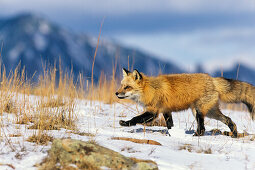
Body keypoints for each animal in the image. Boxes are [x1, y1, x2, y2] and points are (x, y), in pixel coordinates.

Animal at [116, 68, 255, 137]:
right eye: (121, 85)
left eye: (127, 87)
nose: (116, 93)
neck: (150, 89)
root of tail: (212, 79)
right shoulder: (166, 111)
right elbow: (170, 125)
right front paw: (172, 134)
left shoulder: (153, 111)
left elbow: (135, 118)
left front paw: (125, 123)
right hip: (210, 112)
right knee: (229, 119)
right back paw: (234, 133)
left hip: (199, 111)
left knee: (202, 128)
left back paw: (197, 135)